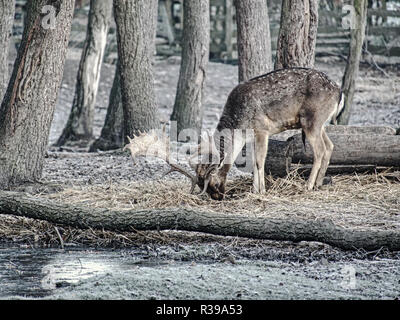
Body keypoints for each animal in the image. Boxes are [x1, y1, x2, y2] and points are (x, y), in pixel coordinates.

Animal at [125, 68, 344, 200]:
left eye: (211, 183)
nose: (217, 197)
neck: (239, 124)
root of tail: (339, 92)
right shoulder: (252, 135)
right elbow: (255, 162)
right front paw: (254, 190)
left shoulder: (262, 128)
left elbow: (259, 161)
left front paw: (261, 191)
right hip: (319, 123)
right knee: (330, 146)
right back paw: (319, 184)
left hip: (311, 120)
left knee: (320, 150)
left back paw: (308, 186)